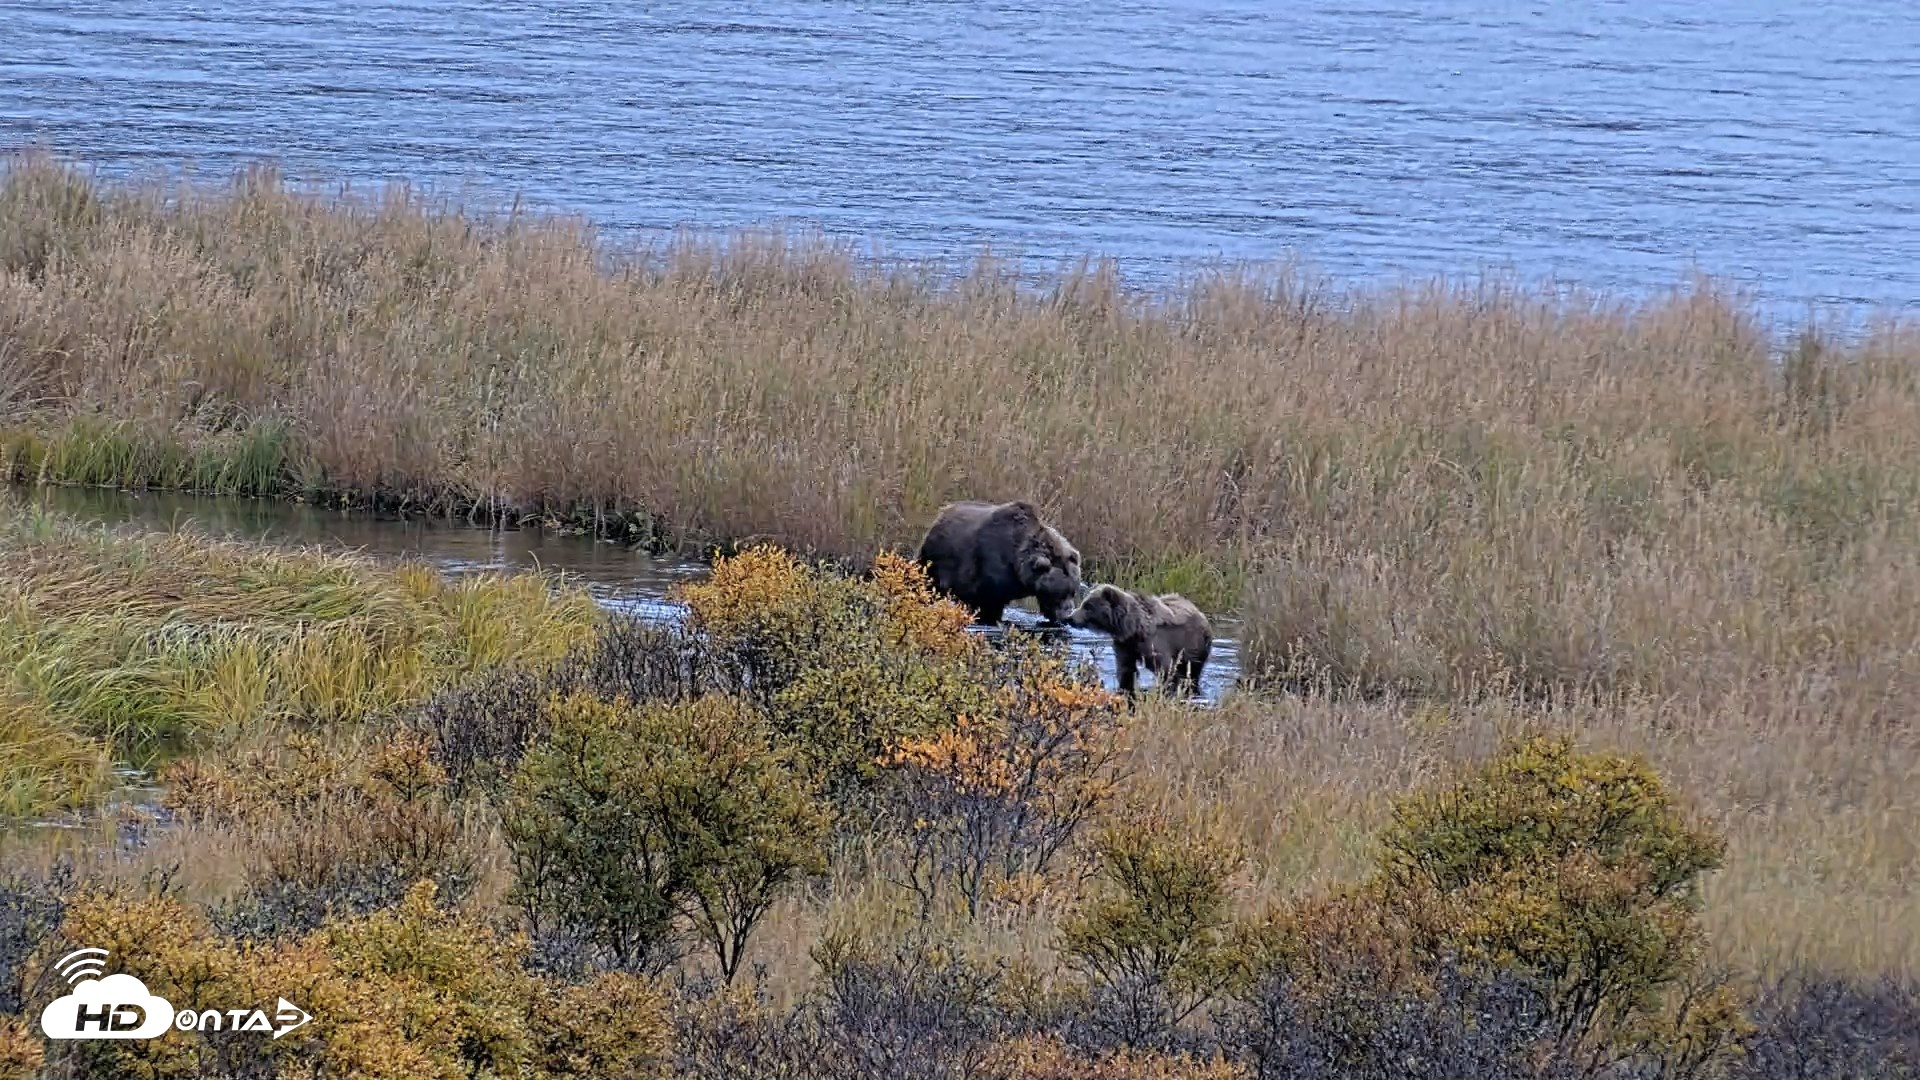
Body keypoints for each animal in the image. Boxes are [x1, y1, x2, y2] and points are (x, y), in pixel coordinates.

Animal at [914, 500, 1086, 626]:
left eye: (1073, 591)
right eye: (1059, 594)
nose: (1067, 615)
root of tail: (941, 514)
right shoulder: (989, 568)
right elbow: (987, 603)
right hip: (937, 559)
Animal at [1063, 583, 1213, 700]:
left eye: (1088, 606)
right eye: (1084, 603)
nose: (1070, 618)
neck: (1133, 628)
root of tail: (1199, 612)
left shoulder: (1155, 644)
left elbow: (1165, 669)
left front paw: (1168, 688)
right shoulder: (1124, 645)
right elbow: (1126, 670)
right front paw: (1125, 688)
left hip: (1193, 644)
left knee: (1193, 671)